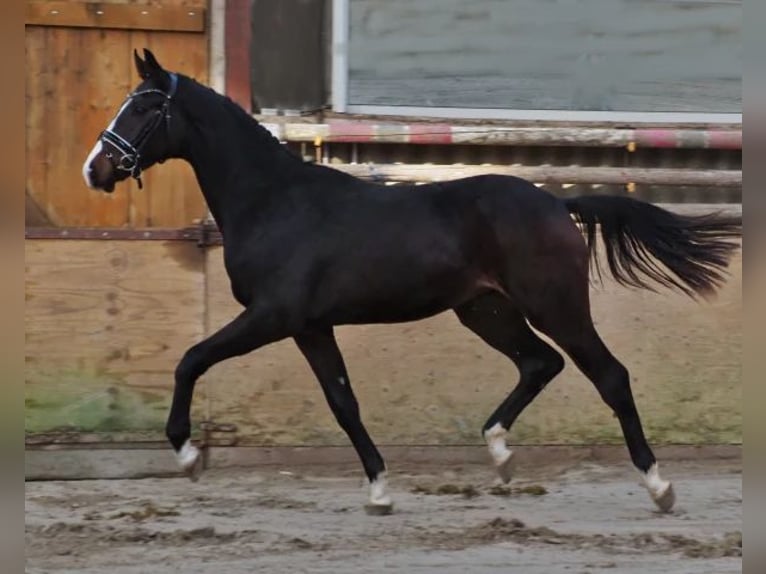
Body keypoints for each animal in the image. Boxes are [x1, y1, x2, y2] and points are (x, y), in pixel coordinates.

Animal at [84, 50, 744, 516]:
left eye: (142, 107)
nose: (96, 169)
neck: (275, 201)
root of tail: (557, 203)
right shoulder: (310, 326)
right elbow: (343, 402)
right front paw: (379, 491)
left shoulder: (272, 316)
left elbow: (191, 360)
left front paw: (188, 456)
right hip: (487, 311)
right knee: (539, 364)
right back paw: (499, 454)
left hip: (554, 306)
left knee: (608, 375)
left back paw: (659, 487)